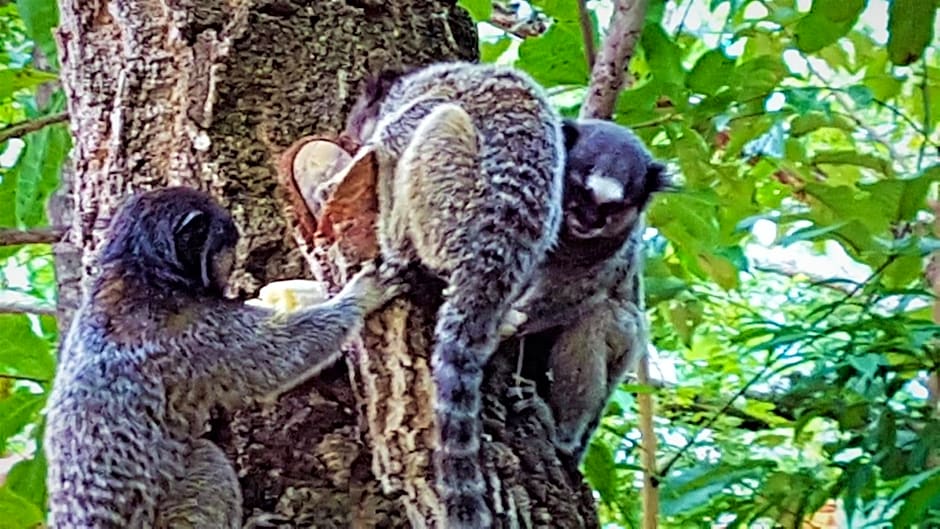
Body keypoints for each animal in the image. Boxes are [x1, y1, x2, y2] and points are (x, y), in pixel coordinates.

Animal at [45, 188, 400, 524]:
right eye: (228, 243)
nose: (231, 261)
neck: (143, 273)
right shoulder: (192, 331)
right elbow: (277, 358)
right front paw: (359, 298)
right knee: (208, 459)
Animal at [332, 63, 560, 528]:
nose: (348, 136)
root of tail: (491, 260)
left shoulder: (417, 100)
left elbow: (401, 130)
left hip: (449, 207)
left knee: (440, 122)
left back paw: (395, 240)